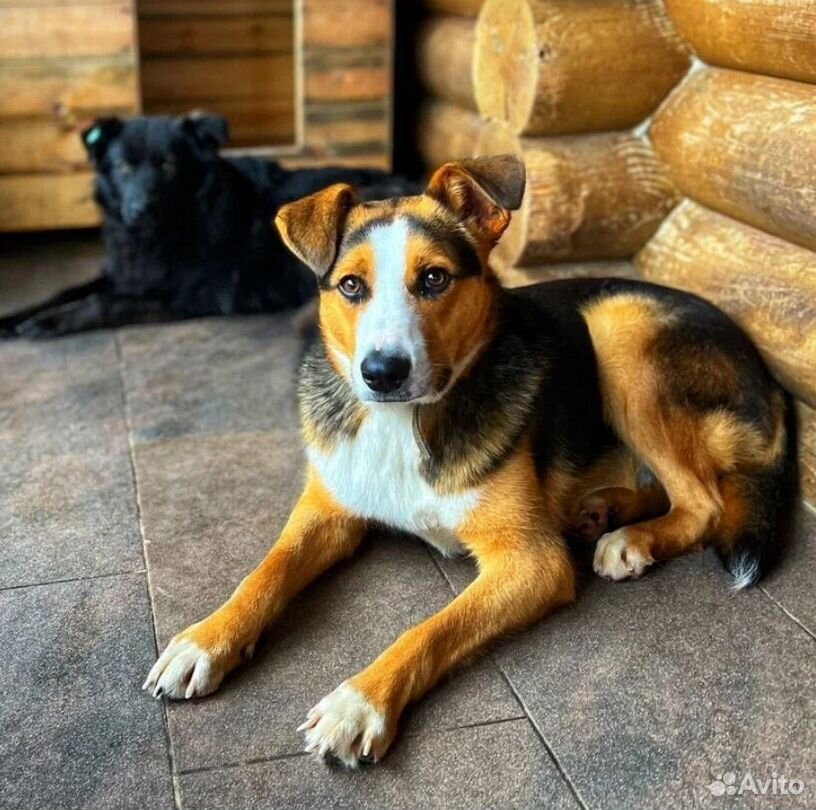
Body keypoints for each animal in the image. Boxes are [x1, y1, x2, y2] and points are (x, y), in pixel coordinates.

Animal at [0, 112, 418, 336]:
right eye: (123, 167)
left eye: (168, 166)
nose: (138, 211)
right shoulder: (124, 273)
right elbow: (67, 290)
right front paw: (14, 318)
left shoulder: (189, 295)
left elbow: (103, 301)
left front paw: (49, 323)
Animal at [142, 155, 796, 768]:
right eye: (351, 287)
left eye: (434, 278)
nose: (382, 373)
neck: (405, 423)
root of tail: (770, 380)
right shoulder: (327, 508)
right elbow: (266, 570)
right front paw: (206, 639)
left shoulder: (532, 562)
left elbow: (434, 627)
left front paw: (361, 702)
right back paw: (605, 510)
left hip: (618, 326)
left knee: (703, 501)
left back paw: (632, 539)